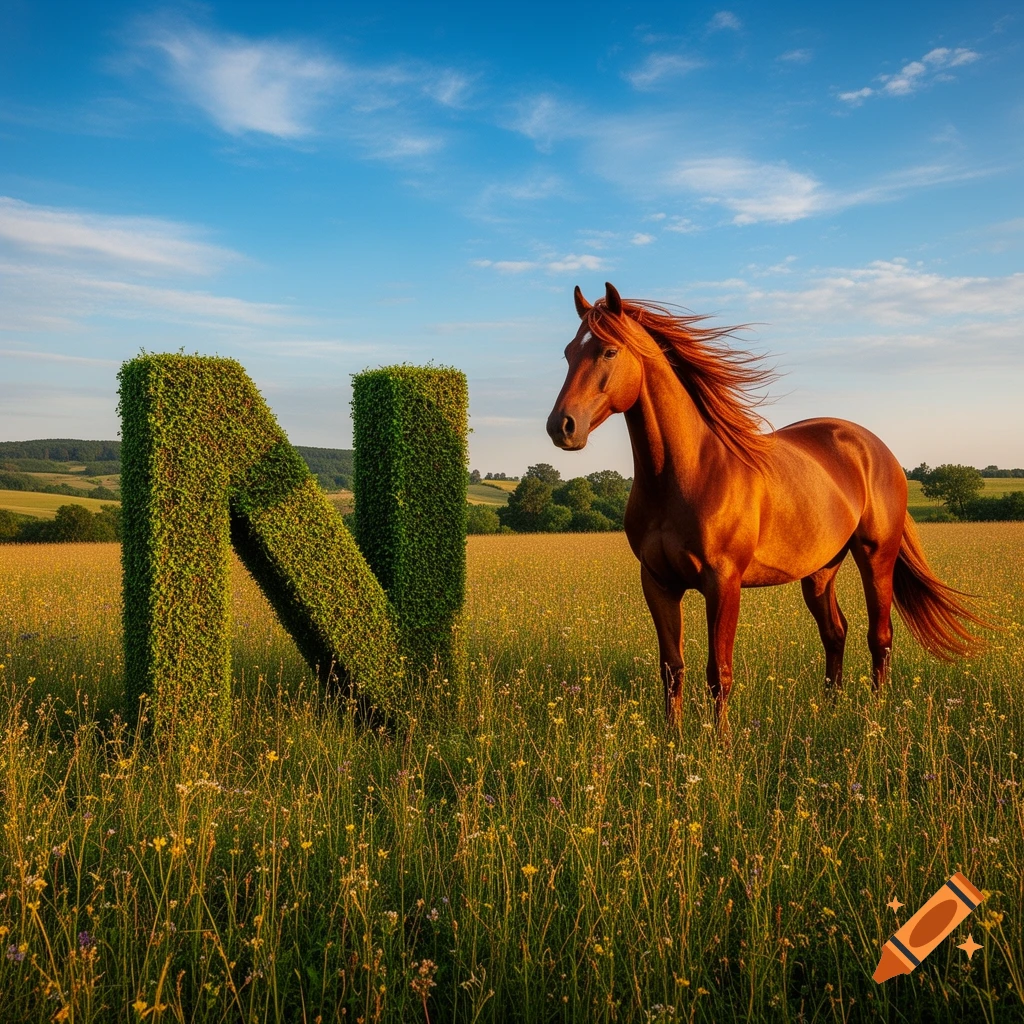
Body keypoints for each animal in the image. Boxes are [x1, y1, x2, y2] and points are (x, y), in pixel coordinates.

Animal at [546, 282, 988, 731]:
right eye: (568, 352)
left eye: (608, 351)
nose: (561, 426)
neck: (688, 471)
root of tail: (877, 450)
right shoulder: (658, 583)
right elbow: (672, 668)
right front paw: (673, 739)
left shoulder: (723, 583)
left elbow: (719, 672)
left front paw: (719, 743)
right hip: (820, 570)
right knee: (835, 632)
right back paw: (831, 709)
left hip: (876, 556)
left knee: (879, 637)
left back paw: (875, 716)